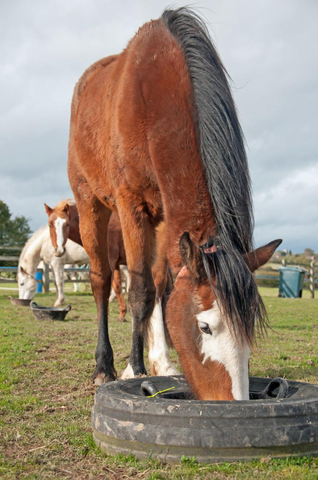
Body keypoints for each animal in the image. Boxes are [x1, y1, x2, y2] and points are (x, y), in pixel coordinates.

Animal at [67, 7, 280, 400]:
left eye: (249, 329)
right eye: (206, 327)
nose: (235, 404)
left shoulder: (166, 216)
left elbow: (161, 289)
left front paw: (161, 364)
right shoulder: (131, 204)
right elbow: (139, 291)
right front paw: (133, 368)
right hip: (90, 202)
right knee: (102, 279)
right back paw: (104, 366)